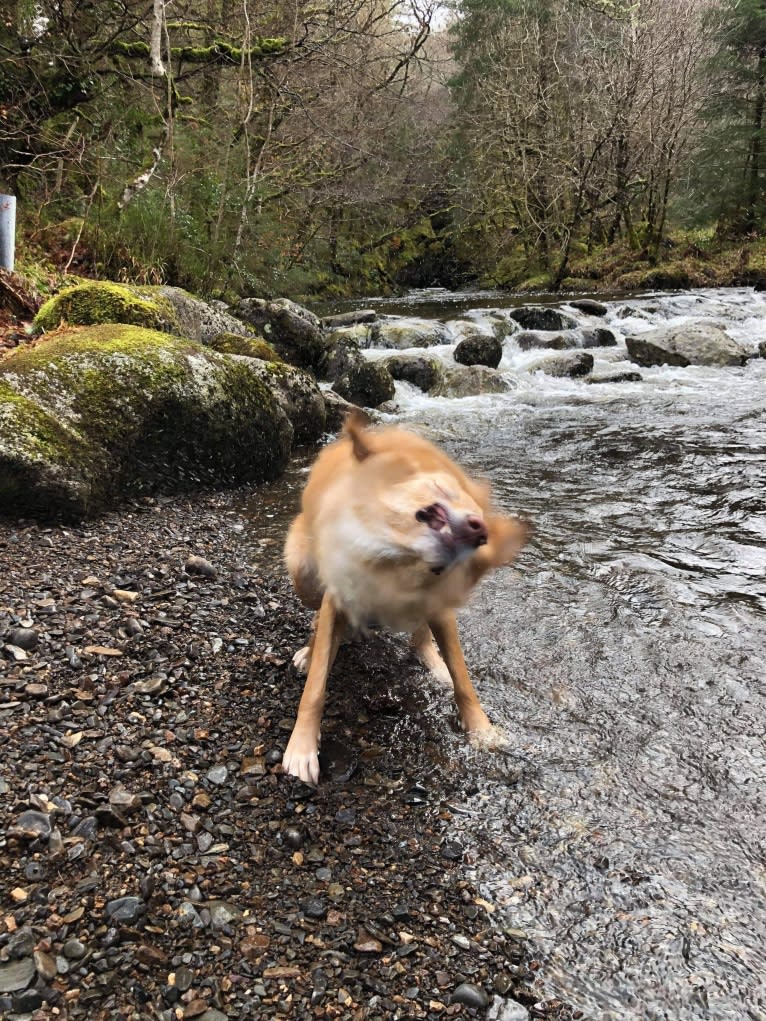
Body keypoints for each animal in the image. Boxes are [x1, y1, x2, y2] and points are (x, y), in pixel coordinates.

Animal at [281, 410, 527, 784]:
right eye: (441, 491)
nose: (481, 531)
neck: (395, 563)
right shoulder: (337, 592)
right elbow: (315, 688)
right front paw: (302, 748)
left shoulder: (438, 602)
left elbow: (463, 680)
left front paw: (481, 729)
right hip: (303, 575)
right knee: (317, 620)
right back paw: (310, 651)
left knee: (422, 638)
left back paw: (433, 663)